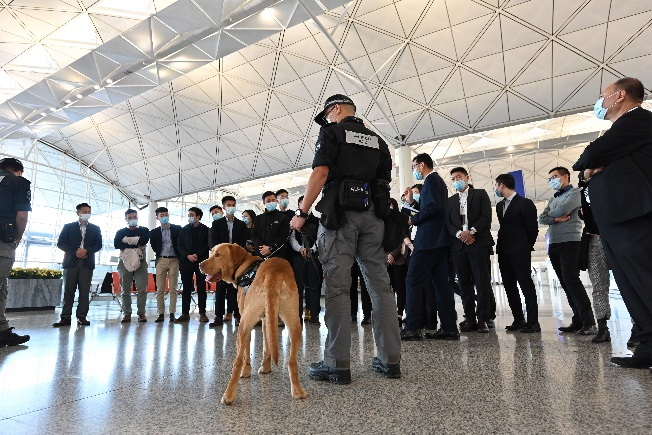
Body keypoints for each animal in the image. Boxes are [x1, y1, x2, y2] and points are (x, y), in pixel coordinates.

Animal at [199, 244, 308, 408]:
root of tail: (273, 272)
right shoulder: (266, 319)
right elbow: (267, 346)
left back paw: (229, 396)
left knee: (237, 361)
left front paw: (246, 371)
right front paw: (266, 367)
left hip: (244, 324)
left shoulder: (246, 320)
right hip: (295, 322)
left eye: (217, 254)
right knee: (292, 361)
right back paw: (297, 391)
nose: (200, 265)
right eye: (211, 253)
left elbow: (246, 352)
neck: (244, 266)